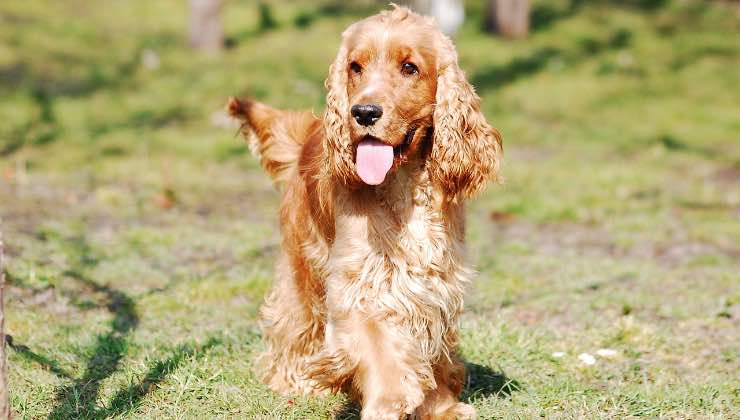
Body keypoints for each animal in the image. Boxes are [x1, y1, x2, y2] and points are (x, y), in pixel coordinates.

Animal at [225, 4, 502, 418]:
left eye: (409, 68)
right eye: (355, 66)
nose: (364, 112)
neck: (404, 186)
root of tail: (310, 131)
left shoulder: (435, 282)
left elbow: (428, 345)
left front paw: (440, 405)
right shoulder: (360, 285)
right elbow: (382, 352)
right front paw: (388, 402)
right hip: (304, 260)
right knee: (294, 319)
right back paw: (296, 380)